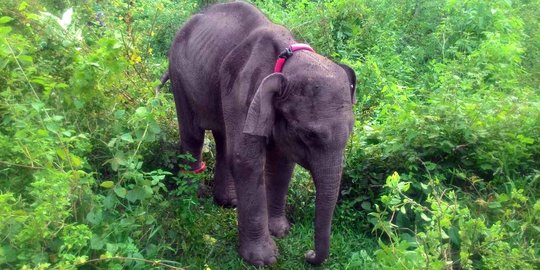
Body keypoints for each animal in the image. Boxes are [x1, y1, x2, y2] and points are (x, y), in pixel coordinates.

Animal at [158, 0, 356, 266]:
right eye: (309, 135)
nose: (308, 254)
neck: (288, 62)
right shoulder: (244, 89)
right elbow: (246, 160)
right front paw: (264, 260)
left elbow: (282, 162)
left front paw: (280, 231)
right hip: (179, 73)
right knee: (193, 134)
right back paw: (193, 195)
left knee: (223, 137)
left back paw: (228, 201)